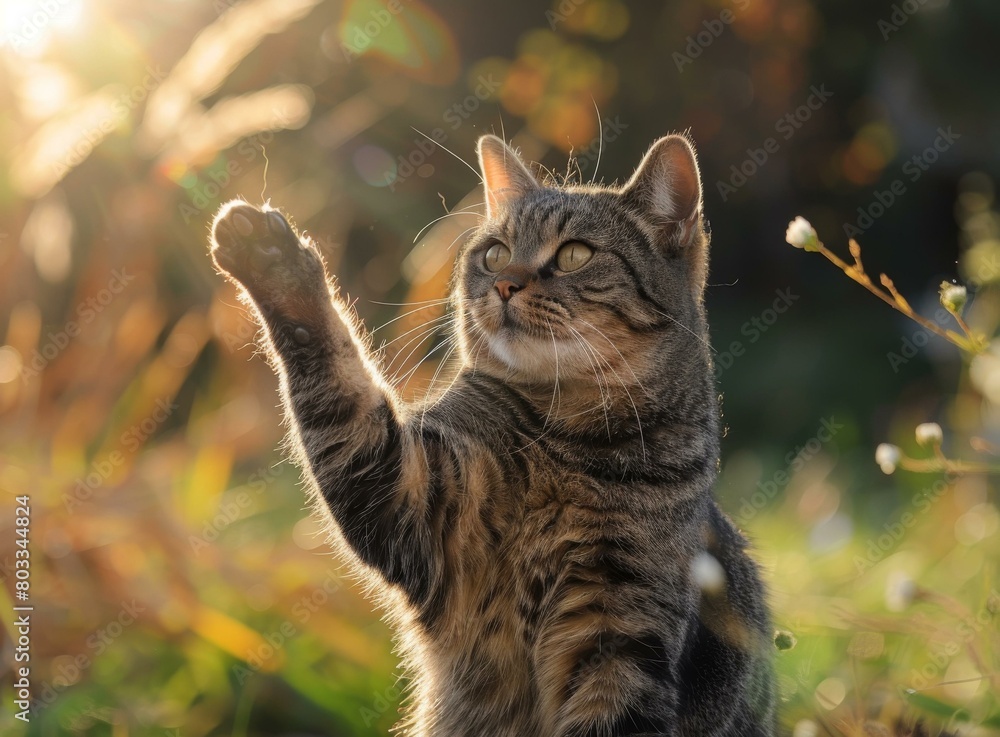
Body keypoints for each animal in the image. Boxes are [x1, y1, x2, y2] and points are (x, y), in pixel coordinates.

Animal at [209, 134, 772, 736]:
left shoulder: (621, 633)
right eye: (495, 254)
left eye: (575, 254)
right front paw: (271, 262)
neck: (566, 440)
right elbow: (340, 380)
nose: (504, 283)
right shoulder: (411, 500)